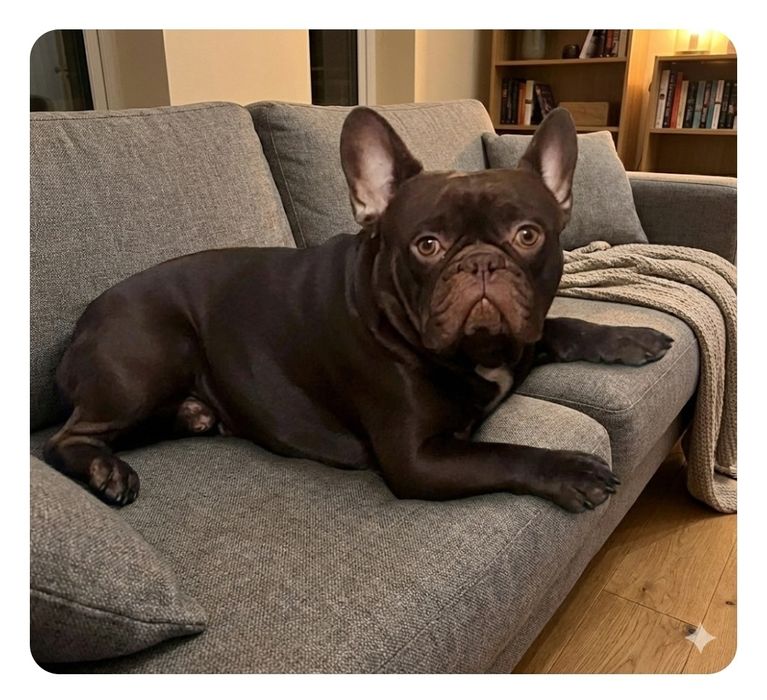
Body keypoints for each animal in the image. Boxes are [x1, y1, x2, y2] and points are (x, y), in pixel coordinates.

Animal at [43, 106, 672, 512]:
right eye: (427, 245)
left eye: (527, 235)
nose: (480, 264)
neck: (480, 351)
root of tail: (85, 322)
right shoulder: (418, 458)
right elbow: (502, 452)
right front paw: (570, 469)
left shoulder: (524, 336)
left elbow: (562, 324)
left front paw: (630, 338)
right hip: (148, 361)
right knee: (63, 439)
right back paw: (106, 471)